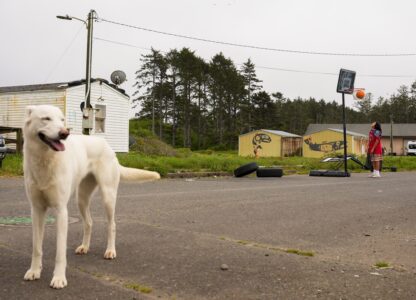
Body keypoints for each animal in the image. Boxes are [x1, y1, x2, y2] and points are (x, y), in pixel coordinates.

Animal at [22, 105, 161, 288]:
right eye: (46, 118)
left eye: (62, 120)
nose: (64, 133)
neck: (45, 159)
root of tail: (107, 146)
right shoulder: (36, 210)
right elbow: (36, 248)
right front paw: (34, 271)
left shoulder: (61, 211)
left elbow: (60, 252)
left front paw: (59, 278)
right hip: (81, 199)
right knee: (89, 223)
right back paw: (84, 247)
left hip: (108, 197)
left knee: (112, 225)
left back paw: (110, 251)